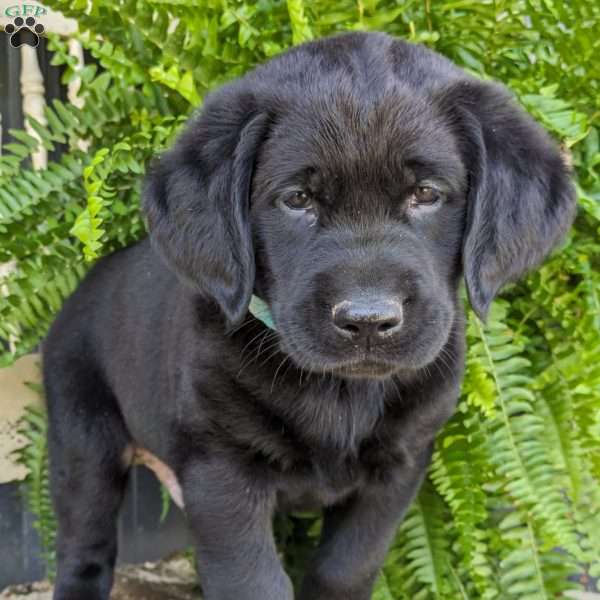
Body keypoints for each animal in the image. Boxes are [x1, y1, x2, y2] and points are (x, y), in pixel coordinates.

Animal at [44, 32, 576, 600]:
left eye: (426, 194)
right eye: (297, 199)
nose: (368, 320)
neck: (342, 393)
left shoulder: (398, 468)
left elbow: (346, 567)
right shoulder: (221, 469)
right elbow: (253, 580)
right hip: (83, 441)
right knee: (84, 545)